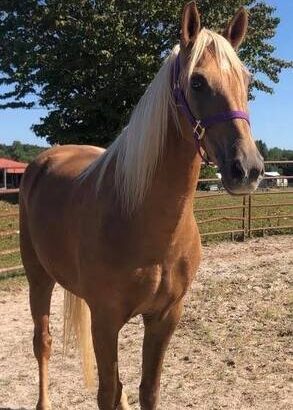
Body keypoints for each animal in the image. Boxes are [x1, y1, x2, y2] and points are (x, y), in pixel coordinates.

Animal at [20, 1, 262, 408]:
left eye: (246, 82)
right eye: (197, 82)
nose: (247, 169)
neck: (142, 219)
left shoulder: (165, 317)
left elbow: (146, 389)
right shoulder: (105, 320)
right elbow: (108, 392)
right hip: (38, 278)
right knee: (44, 343)